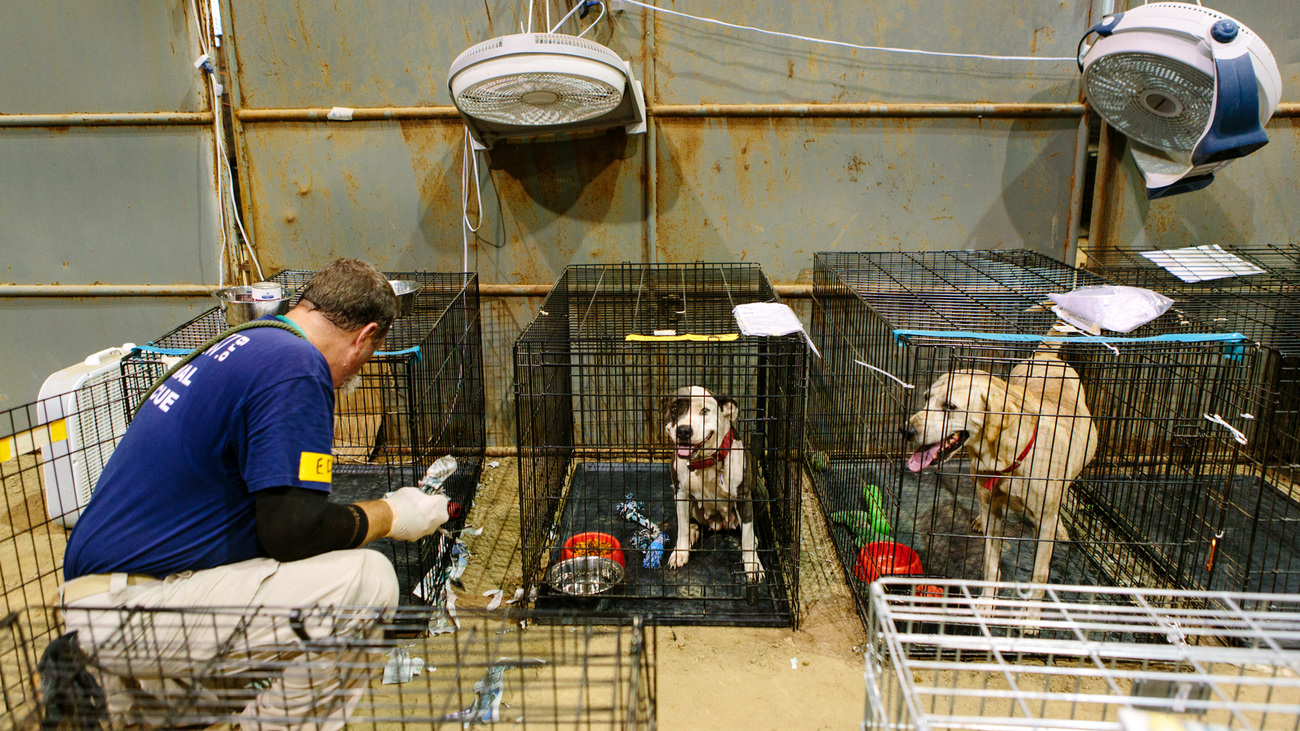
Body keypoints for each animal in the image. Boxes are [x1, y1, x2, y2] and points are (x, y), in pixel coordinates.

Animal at [665, 385, 764, 577]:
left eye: (704, 411)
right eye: (674, 409)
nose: (683, 430)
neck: (705, 461)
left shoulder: (744, 497)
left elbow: (747, 533)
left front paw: (752, 562)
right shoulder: (680, 492)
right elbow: (682, 526)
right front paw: (680, 552)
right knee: (691, 521)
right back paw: (693, 531)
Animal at [904, 340, 1097, 598]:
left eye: (949, 406)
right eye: (926, 398)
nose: (906, 431)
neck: (1008, 460)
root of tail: (1047, 355)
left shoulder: (1044, 523)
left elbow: (1039, 574)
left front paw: (1032, 610)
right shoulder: (992, 510)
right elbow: (990, 561)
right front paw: (986, 600)